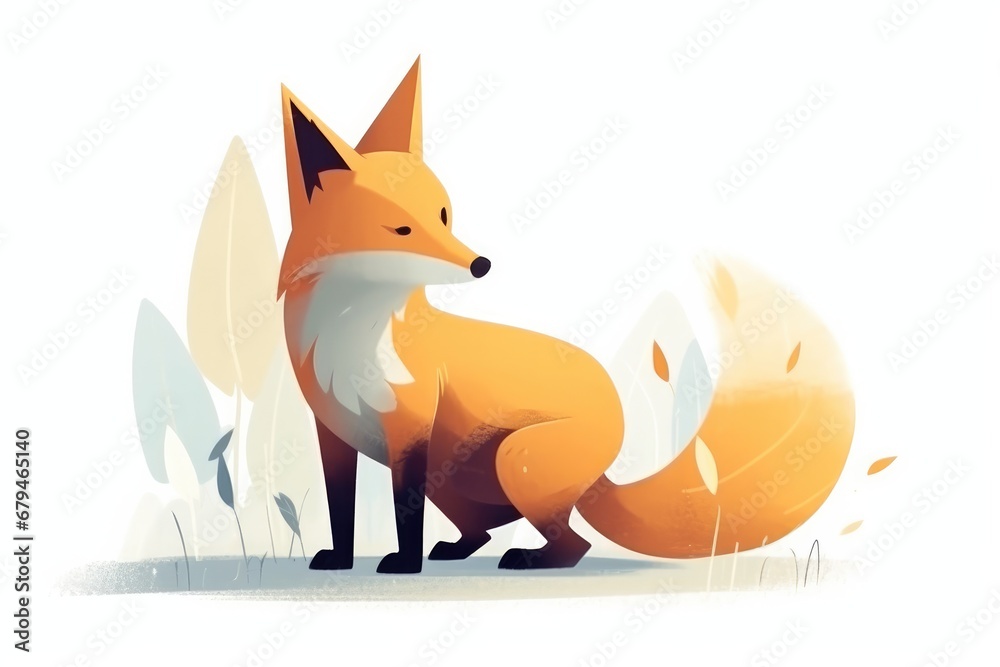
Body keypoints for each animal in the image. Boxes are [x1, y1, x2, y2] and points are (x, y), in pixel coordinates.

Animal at [278, 57, 856, 573]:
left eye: (444, 216)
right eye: (402, 229)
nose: (480, 264)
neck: (350, 333)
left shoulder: (411, 432)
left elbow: (406, 513)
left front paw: (403, 565)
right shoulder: (332, 433)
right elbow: (341, 510)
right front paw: (339, 561)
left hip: (514, 461)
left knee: (572, 543)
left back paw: (531, 560)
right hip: (459, 478)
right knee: (486, 530)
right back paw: (463, 549)